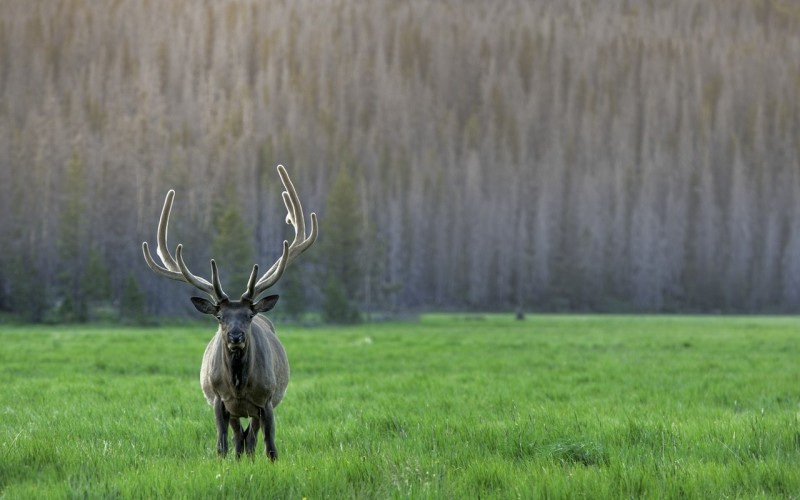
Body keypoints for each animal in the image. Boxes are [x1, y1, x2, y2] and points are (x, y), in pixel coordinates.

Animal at [142, 165, 318, 460]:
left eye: (248, 315)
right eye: (219, 317)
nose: (236, 336)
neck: (238, 385)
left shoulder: (267, 400)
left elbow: (270, 447)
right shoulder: (217, 400)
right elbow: (222, 445)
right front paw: (226, 460)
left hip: (258, 408)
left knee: (251, 439)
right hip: (235, 411)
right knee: (239, 439)